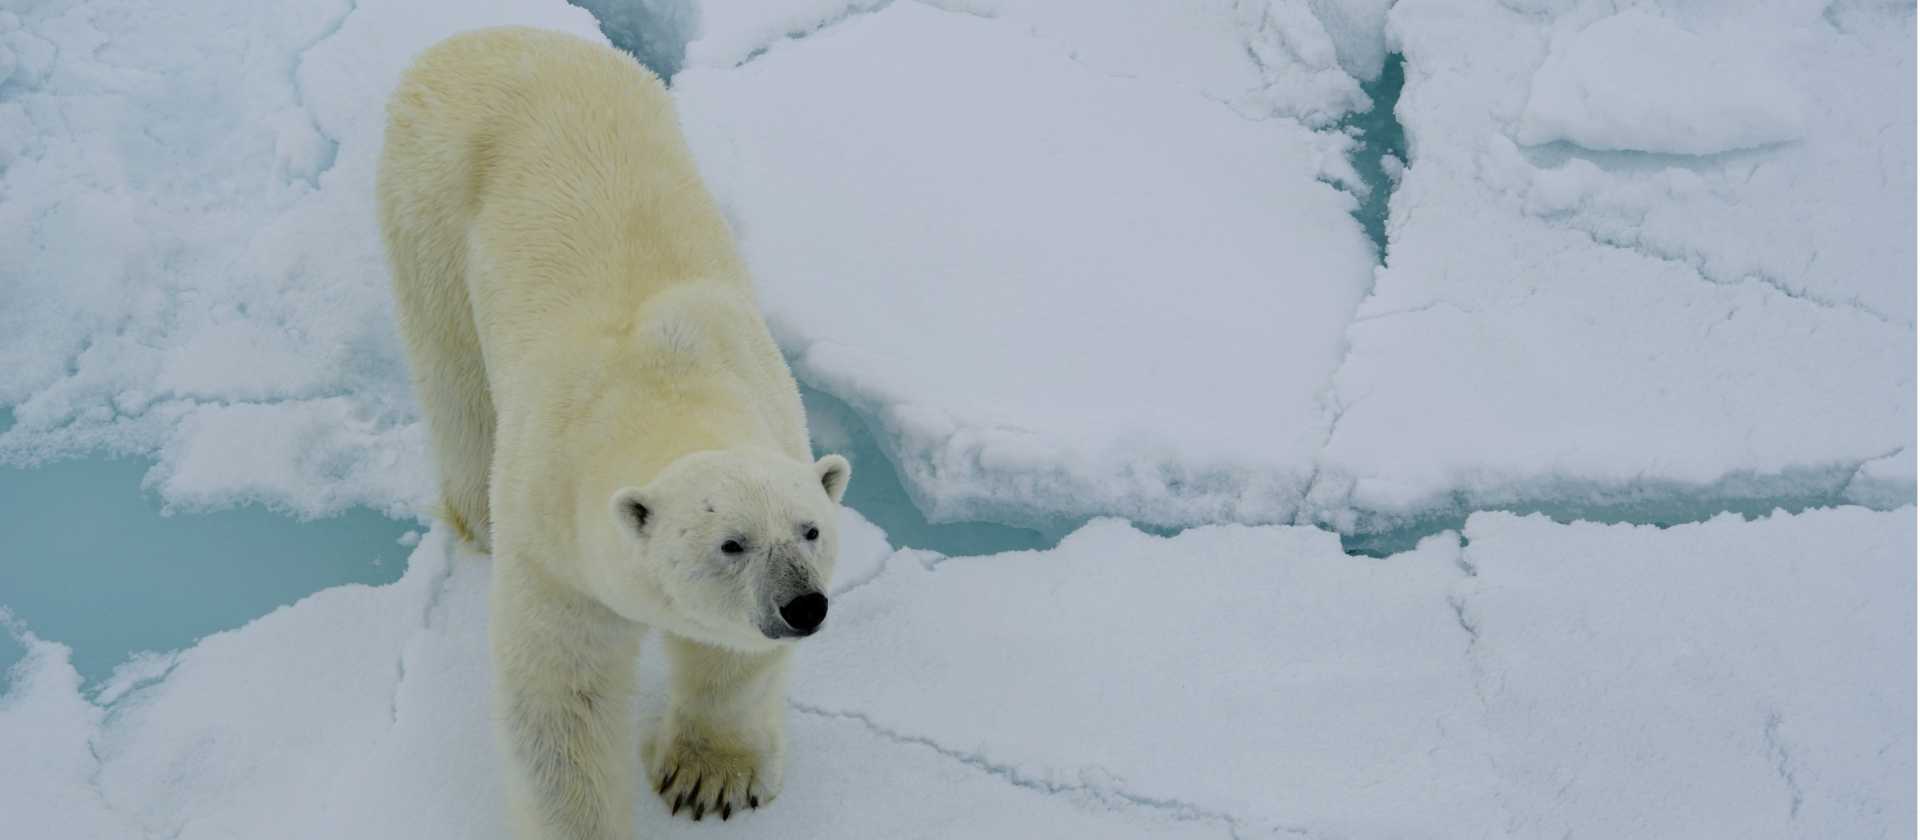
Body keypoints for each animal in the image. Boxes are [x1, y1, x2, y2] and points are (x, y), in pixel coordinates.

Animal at [376, 27, 851, 839]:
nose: (804, 605)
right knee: (454, 375)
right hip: (429, 202)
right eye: (731, 544)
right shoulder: (552, 541)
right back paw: (474, 514)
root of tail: (478, 36)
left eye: (811, 530)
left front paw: (710, 779)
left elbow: (729, 660)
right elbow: (561, 696)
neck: (661, 382)